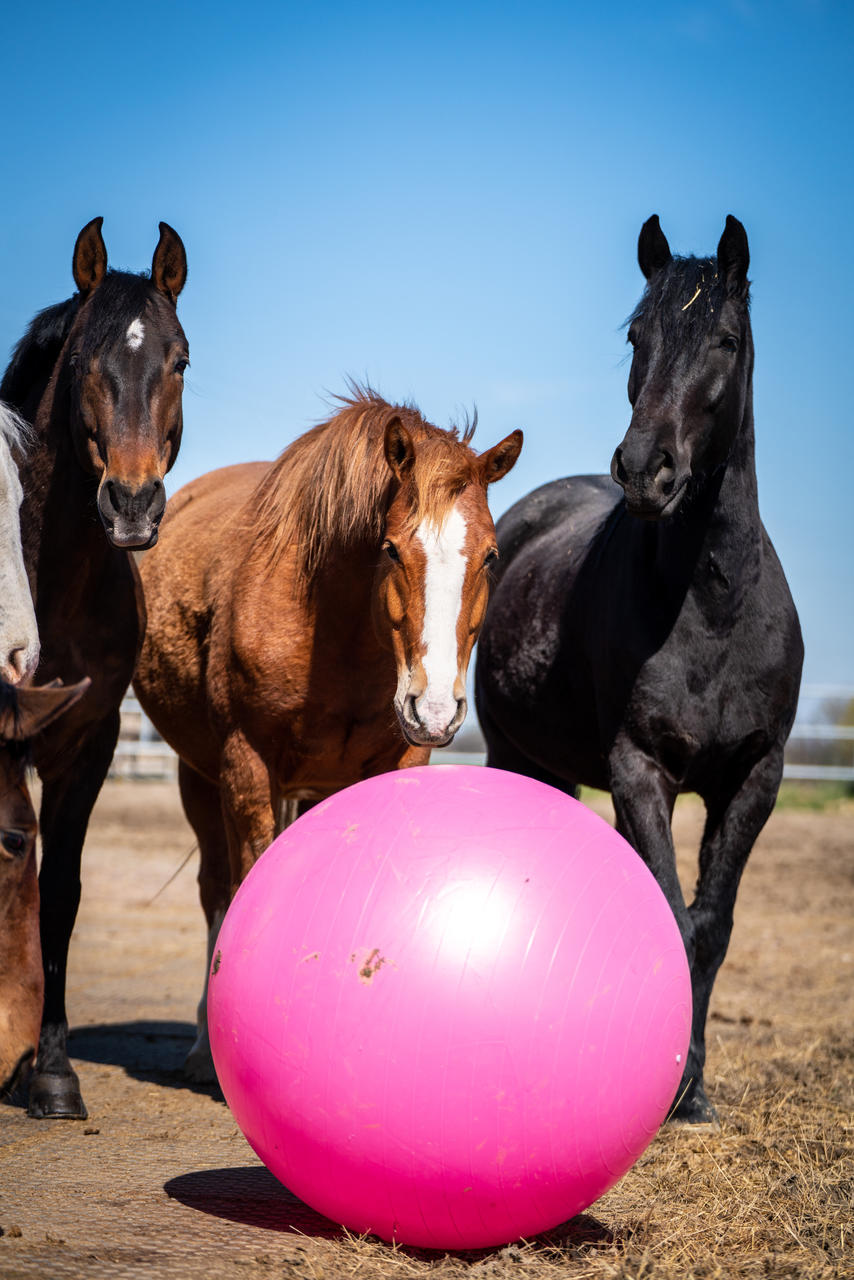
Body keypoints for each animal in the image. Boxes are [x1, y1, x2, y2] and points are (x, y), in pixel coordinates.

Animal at [133, 387, 522, 1079]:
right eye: (391, 548)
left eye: (491, 554)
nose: (435, 709)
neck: (337, 629)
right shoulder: (246, 767)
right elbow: (249, 884)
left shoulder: (397, 763)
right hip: (201, 779)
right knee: (216, 891)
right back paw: (204, 1047)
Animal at [475, 216, 803, 1124]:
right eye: (636, 337)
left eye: (725, 340)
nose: (645, 470)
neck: (714, 608)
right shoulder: (640, 767)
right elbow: (669, 917)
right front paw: (669, 1083)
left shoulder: (754, 778)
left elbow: (710, 926)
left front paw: (694, 1093)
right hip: (520, 756)